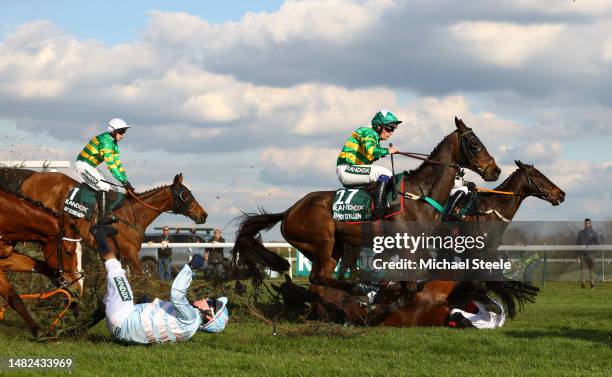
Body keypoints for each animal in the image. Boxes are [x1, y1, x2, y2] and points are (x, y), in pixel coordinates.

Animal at [0, 171, 208, 274]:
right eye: (186, 194)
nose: (203, 215)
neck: (132, 216)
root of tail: (29, 179)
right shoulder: (130, 253)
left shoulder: (117, 255)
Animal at [0, 191, 81, 334]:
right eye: (68, 252)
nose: (77, 289)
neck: (5, 217)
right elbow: (13, 297)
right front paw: (37, 330)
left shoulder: (5, 258)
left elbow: (41, 266)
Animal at [234, 117, 502, 294]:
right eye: (474, 143)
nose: (495, 170)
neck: (420, 194)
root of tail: (289, 211)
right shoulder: (407, 245)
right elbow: (412, 283)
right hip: (322, 241)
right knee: (319, 278)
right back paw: (357, 288)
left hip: (333, 248)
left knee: (320, 278)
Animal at [376, 162, 568, 326]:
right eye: (537, 175)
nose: (561, 194)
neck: (490, 210)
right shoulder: (471, 253)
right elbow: (476, 282)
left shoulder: (486, 254)